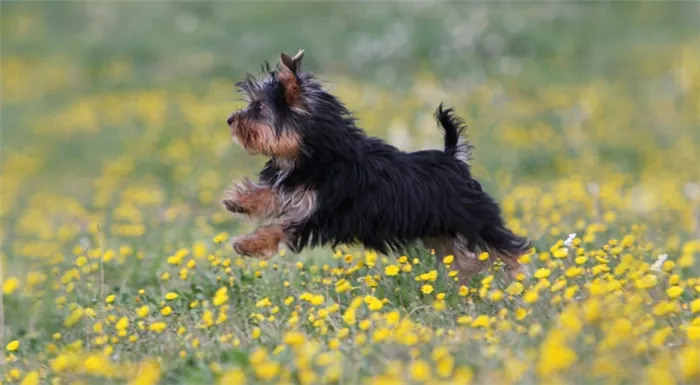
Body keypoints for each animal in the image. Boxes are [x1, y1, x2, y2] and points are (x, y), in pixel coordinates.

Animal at [223, 50, 532, 280]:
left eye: (258, 108)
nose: (230, 120)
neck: (315, 152)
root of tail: (453, 158)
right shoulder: (297, 189)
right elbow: (271, 193)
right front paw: (240, 201)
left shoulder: (322, 212)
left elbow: (280, 227)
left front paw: (247, 244)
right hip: (439, 230)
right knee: (462, 257)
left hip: (474, 216)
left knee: (505, 246)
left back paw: (520, 277)